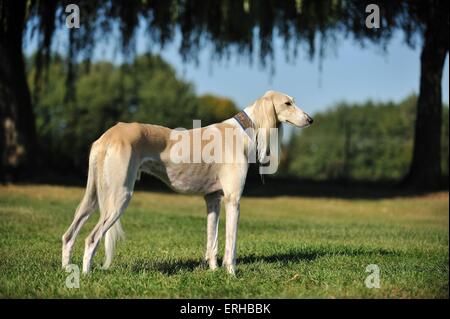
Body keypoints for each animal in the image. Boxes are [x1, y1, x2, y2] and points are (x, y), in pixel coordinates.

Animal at [61, 91, 312, 276]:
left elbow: (212, 240)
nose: (310, 119)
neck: (242, 130)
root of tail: (106, 136)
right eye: (288, 103)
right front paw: (231, 273)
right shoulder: (233, 200)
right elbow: (231, 243)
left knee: (69, 235)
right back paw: (86, 275)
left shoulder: (213, 199)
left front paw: (213, 270)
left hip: (93, 196)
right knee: (91, 238)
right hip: (120, 196)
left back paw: (67, 271)